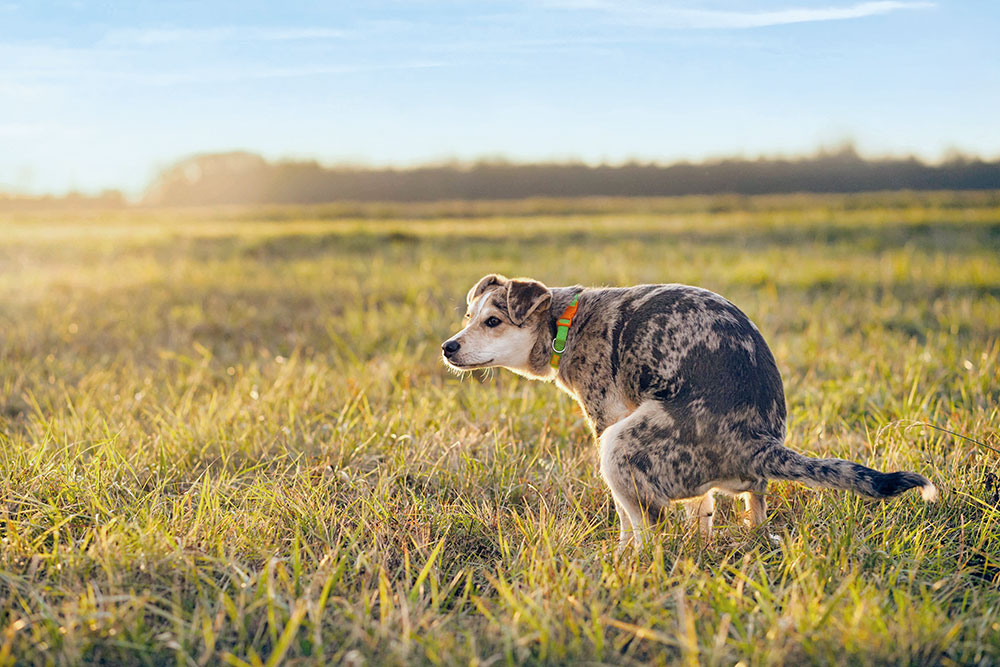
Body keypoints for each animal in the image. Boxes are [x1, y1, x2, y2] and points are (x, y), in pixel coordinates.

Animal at [442, 274, 940, 552]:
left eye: (493, 322)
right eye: (468, 317)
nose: (448, 347)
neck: (566, 322)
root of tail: (759, 443)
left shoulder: (606, 419)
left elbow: (626, 521)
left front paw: (620, 554)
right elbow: (702, 510)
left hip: (618, 446)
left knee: (648, 528)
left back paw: (632, 564)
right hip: (738, 486)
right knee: (751, 513)